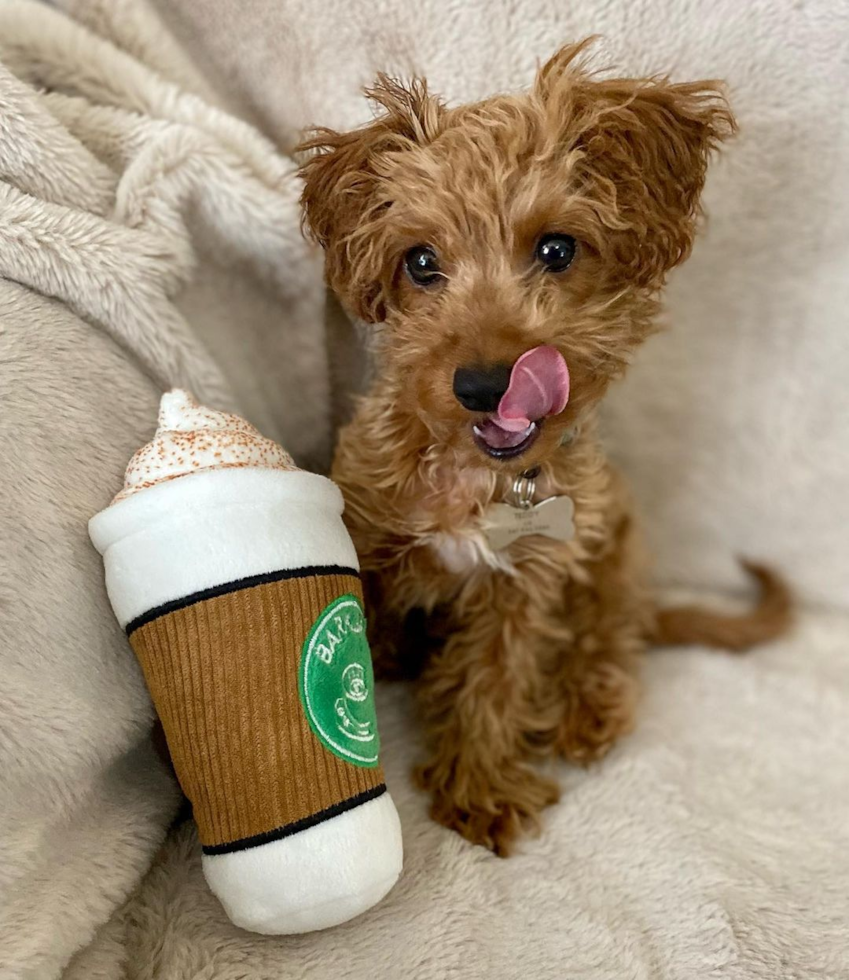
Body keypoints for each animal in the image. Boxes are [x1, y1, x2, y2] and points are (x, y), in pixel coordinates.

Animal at [296, 40, 788, 848]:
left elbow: (497, 676)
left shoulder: (528, 580)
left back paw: (586, 709)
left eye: (557, 248)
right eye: (420, 262)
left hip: (616, 553)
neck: (483, 479)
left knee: (608, 637)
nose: (483, 384)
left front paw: (478, 784)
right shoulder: (366, 532)